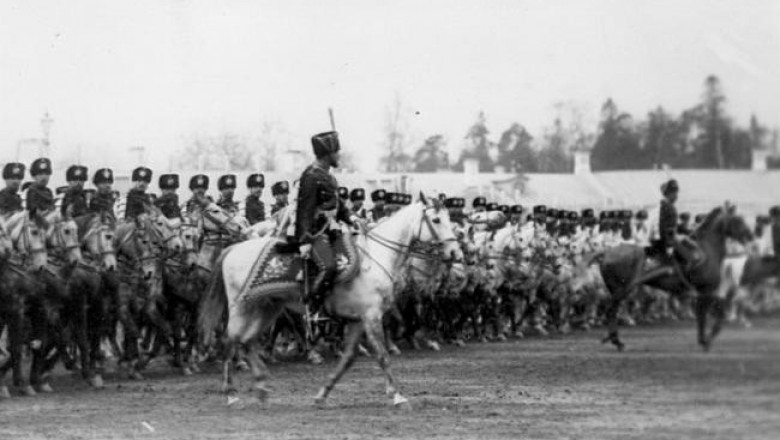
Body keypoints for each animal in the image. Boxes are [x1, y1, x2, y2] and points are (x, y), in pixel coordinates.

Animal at [198, 194, 464, 408]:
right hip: (242, 306)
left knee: (246, 341)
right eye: (436, 220)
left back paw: (262, 387)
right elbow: (381, 355)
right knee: (230, 340)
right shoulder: (372, 316)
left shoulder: (358, 320)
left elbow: (348, 359)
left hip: (267, 308)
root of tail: (233, 249)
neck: (376, 257)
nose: (456, 254)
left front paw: (322, 394)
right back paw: (232, 393)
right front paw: (398, 396)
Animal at [596, 208, 752, 352]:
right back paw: (616, 341)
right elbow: (712, 316)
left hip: (618, 291)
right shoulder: (706, 291)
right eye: (738, 220)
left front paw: (703, 340)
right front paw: (705, 341)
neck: (707, 251)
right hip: (623, 290)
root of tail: (607, 252)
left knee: (612, 310)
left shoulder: (705, 293)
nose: (750, 236)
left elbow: (704, 315)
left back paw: (614, 339)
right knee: (611, 311)